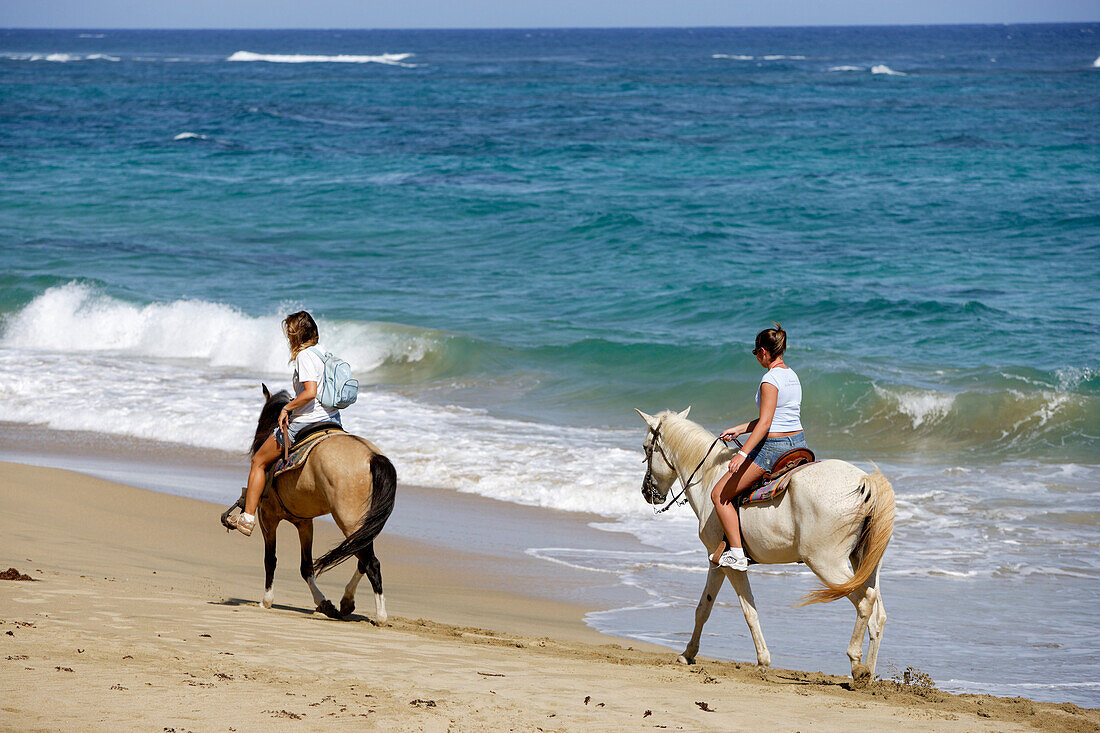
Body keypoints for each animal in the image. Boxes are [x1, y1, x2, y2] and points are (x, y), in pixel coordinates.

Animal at [222, 385, 396, 620]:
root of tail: (373, 457)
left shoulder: (268, 518)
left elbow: (270, 560)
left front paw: (266, 600)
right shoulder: (305, 523)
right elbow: (306, 566)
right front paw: (323, 603)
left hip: (349, 521)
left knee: (371, 563)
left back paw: (380, 615)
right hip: (363, 524)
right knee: (362, 559)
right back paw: (347, 602)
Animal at [638, 405, 893, 677]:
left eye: (646, 448)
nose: (646, 492)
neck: (709, 475)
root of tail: (865, 482)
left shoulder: (726, 564)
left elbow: (746, 610)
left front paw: (762, 660)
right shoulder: (716, 562)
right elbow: (704, 608)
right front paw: (688, 654)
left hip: (826, 563)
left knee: (864, 601)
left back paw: (857, 664)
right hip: (864, 562)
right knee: (877, 615)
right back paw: (869, 674)